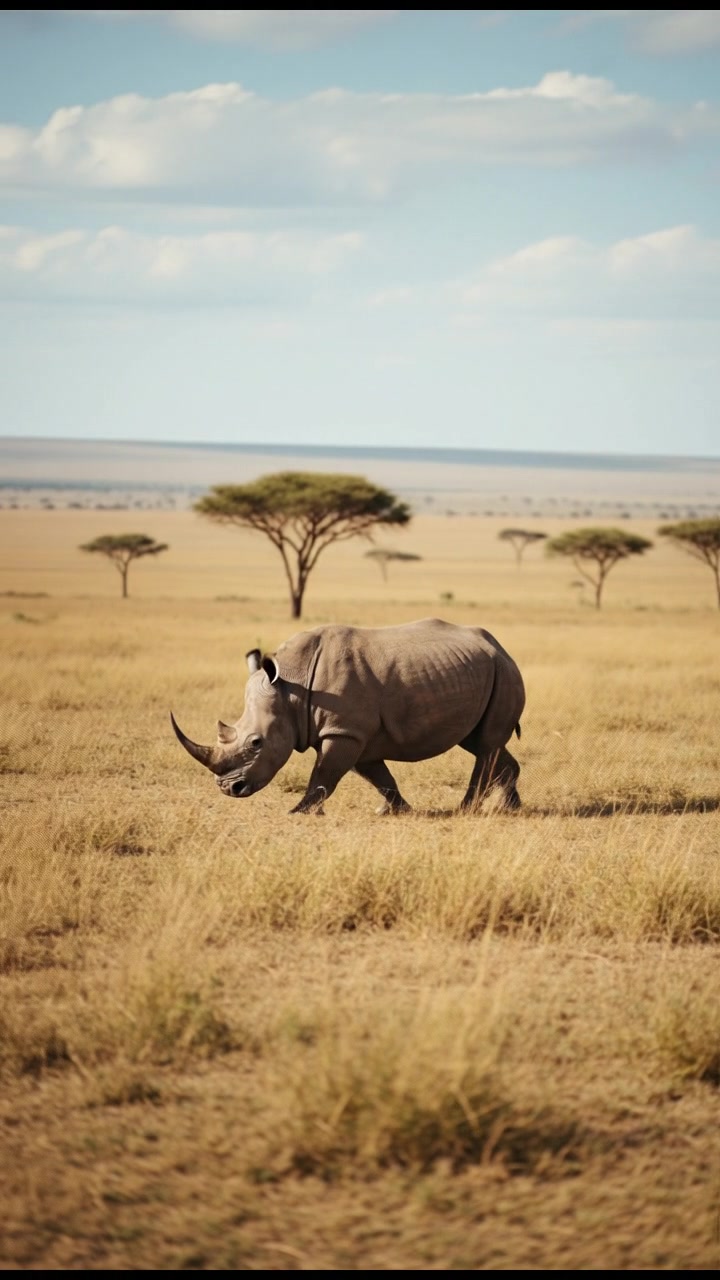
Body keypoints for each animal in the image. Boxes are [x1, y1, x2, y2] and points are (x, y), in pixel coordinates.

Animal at [171, 617, 525, 815]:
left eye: (256, 743)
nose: (229, 789)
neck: (291, 687)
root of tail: (500, 646)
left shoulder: (344, 731)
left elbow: (325, 774)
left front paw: (298, 811)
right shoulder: (354, 734)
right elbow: (379, 777)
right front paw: (396, 810)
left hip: (504, 671)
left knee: (486, 745)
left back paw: (468, 809)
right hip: (483, 671)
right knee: (482, 742)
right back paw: (511, 808)